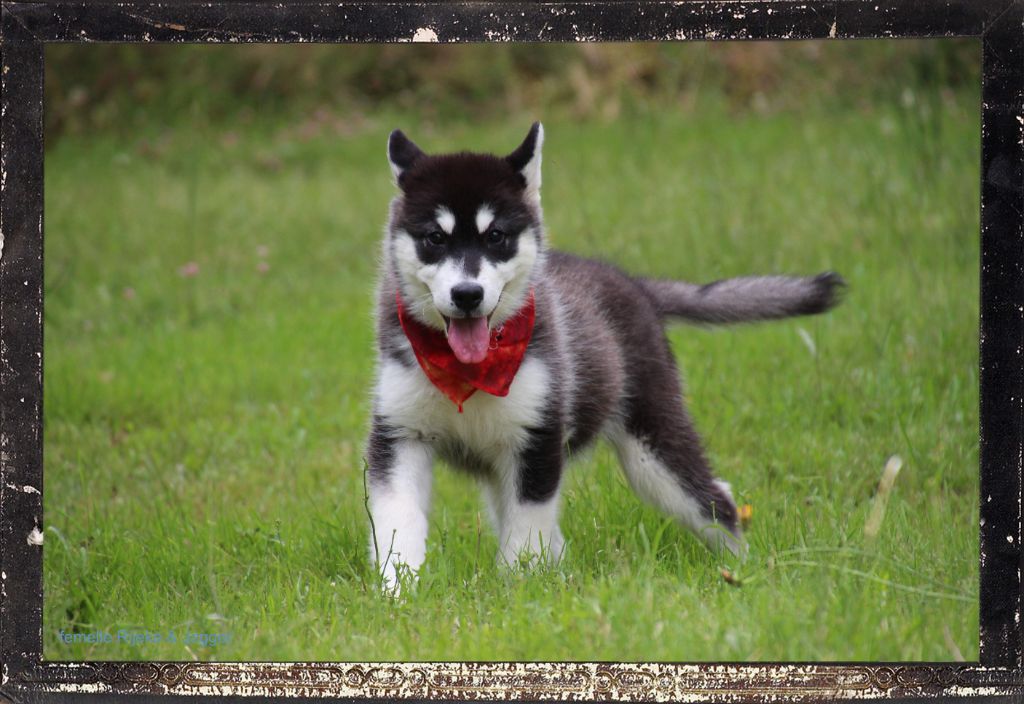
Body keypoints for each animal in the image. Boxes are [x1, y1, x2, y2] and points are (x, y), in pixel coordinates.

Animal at [366, 122, 839, 589]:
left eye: (496, 236)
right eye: (435, 238)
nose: (467, 294)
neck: (469, 372)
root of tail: (638, 286)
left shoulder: (538, 441)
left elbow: (527, 531)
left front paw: (519, 588)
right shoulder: (399, 437)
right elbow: (398, 522)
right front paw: (398, 591)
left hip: (652, 447)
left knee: (715, 498)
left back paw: (742, 569)